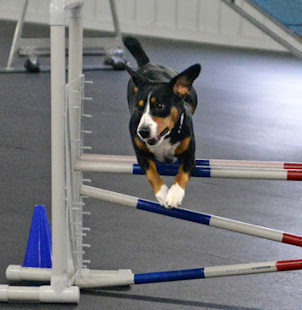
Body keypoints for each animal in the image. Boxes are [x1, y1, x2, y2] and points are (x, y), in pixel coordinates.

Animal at [122, 37, 201, 209]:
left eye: (159, 106)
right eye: (139, 107)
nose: (143, 132)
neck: (164, 138)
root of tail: (149, 64)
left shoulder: (189, 155)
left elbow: (183, 172)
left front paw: (174, 195)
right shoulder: (141, 154)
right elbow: (152, 173)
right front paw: (163, 193)